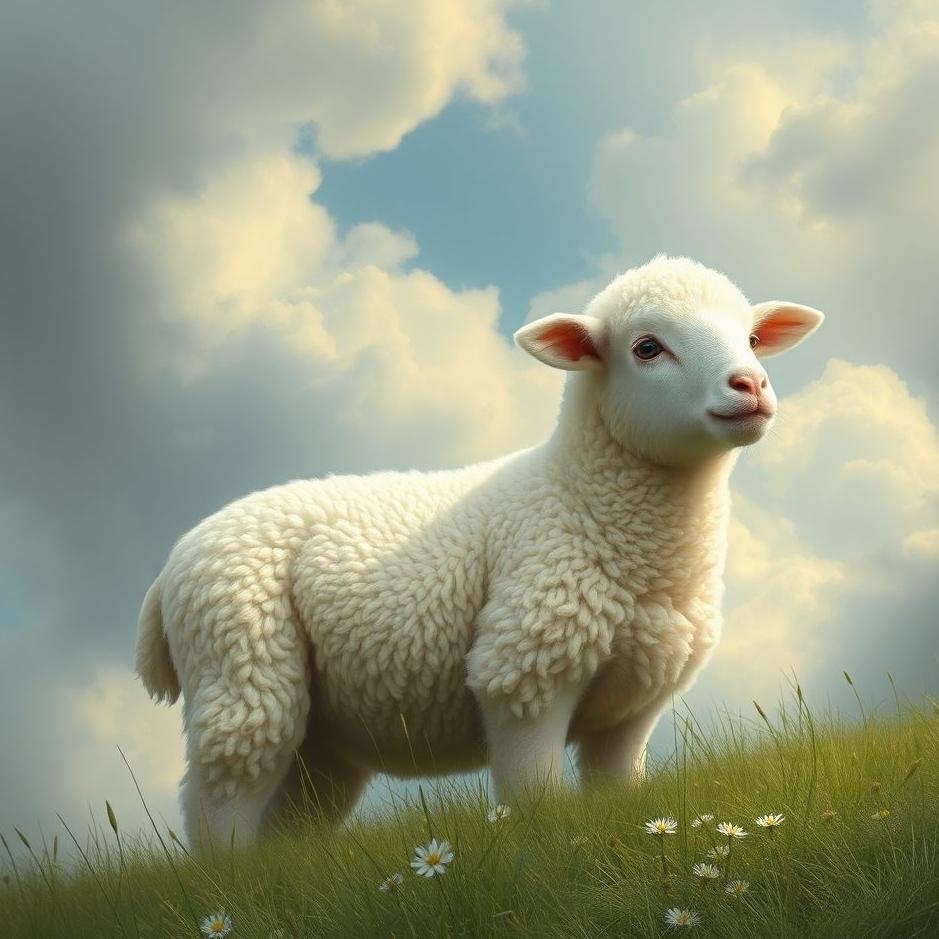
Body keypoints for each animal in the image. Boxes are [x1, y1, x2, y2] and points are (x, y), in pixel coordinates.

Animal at [135, 254, 824, 851]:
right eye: (647, 348)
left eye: (752, 338)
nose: (751, 384)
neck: (583, 503)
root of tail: (169, 569)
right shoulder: (524, 666)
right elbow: (536, 797)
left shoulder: (633, 705)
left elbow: (621, 792)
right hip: (239, 661)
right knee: (220, 801)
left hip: (321, 737)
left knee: (291, 819)